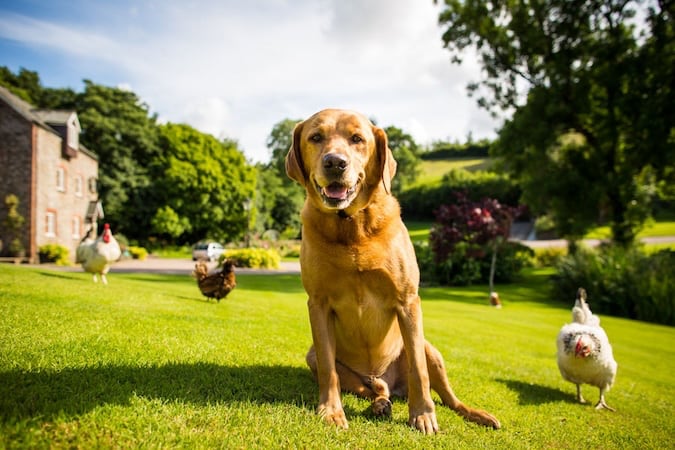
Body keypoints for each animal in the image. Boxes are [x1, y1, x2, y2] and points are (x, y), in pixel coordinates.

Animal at [286, 108, 502, 432]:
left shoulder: (407, 300)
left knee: (448, 396)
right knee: (373, 389)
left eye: (357, 139)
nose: (335, 162)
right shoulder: (318, 304)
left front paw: (423, 414)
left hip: (431, 349)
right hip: (318, 358)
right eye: (315, 137)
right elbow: (328, 368)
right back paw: (380, 404)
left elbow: (418, 371)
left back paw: (476, 413)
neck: (352, 227)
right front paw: (331, 411)